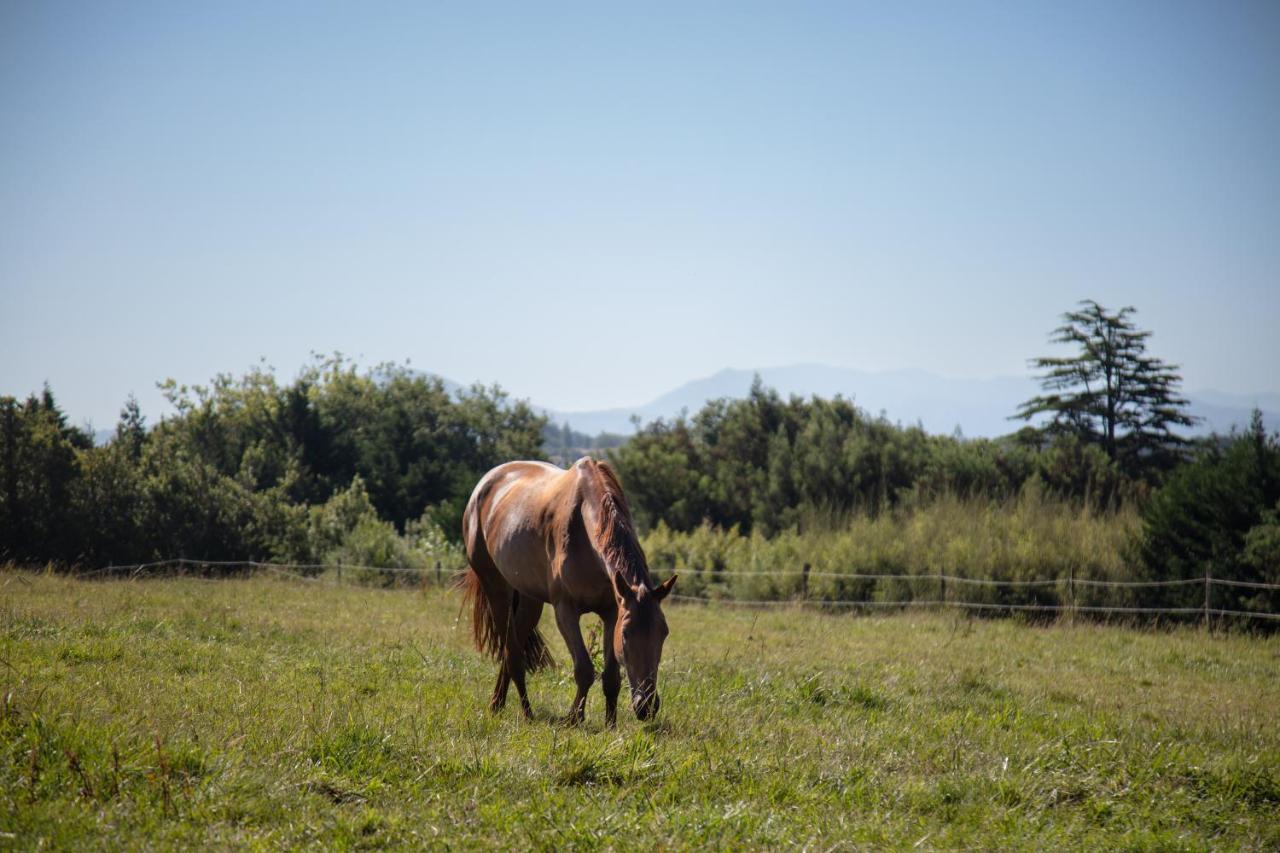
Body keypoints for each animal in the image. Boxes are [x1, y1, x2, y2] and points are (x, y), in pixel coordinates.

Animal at [463, 455, 680, 722]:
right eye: (627, 634)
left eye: (664, 632)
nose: (647, 706)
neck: (584, 527)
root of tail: (482, 487)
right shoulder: (565, 611)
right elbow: (584, 669)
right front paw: (574, 718)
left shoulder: (612, 612)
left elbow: (611, 677)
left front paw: (611, 723)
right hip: (496, 590)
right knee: (512, 654)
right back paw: (526, 713)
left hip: (529, 600)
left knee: (511, 650)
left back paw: (498, 704)